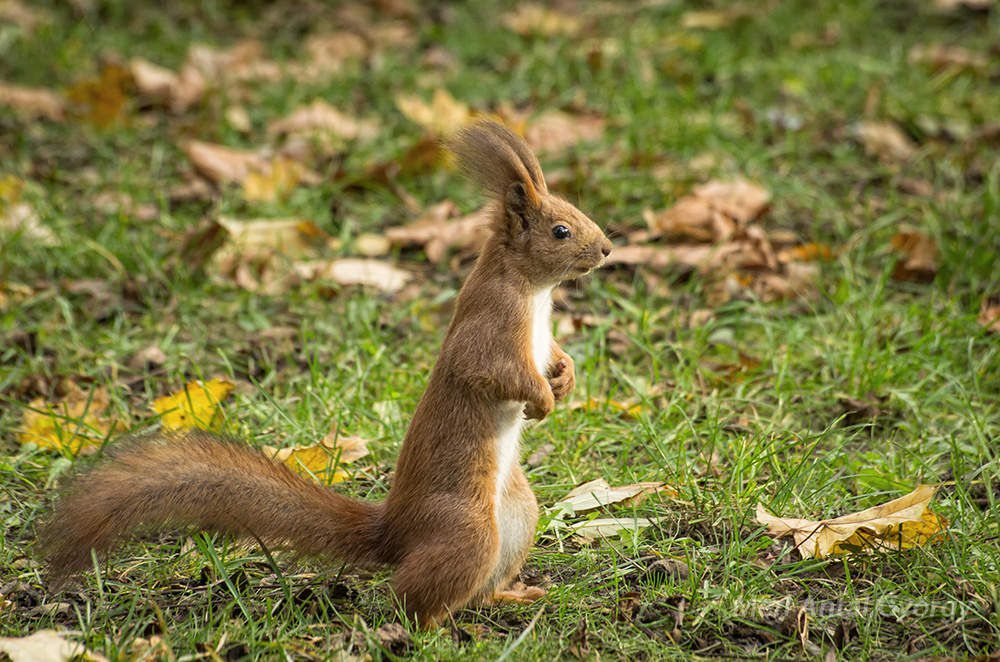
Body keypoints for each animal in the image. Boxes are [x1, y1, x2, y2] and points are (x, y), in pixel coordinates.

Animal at [39, 119, 612, 628]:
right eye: (561, 231)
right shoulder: (488, 330)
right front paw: (543, 399)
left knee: (476, 589)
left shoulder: (538, 334)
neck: (532, 293)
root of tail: (395, 533)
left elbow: (554, 353)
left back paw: (511, 598)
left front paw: (565, 377)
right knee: (411, 598)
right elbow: (491, 373)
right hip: (468, 530)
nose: (607, 248)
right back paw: (425, 629)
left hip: (518, 517)